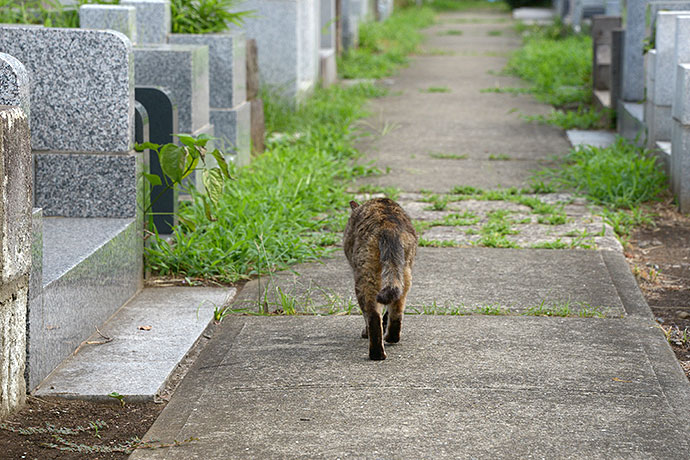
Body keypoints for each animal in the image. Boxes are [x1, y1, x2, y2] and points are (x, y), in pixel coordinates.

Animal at [342, 197, 416, 360]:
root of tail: (389, 227)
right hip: (404, 273)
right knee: (397, 308)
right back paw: (391, 338)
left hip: (366, 277)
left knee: (372, 316)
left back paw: (376, 353)